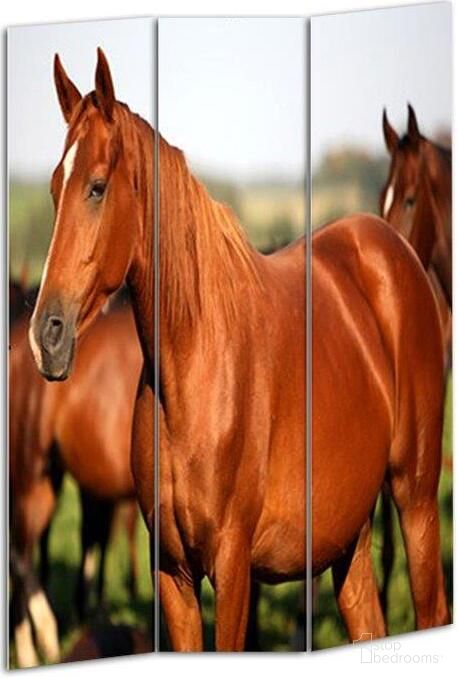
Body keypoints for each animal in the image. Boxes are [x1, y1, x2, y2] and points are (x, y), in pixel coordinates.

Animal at [29, 50, 449, 650]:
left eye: (97, 186)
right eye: (52, 187)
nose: (47, 336)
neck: (194, 369)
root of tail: (394, 251)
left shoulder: (231, 569)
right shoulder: (174, 576)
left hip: (415, 500)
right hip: (348, 536)